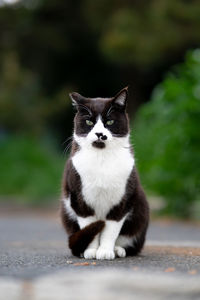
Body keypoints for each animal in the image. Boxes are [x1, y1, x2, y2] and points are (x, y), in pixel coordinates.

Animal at [60, 87, 149, 260]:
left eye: (110, 122)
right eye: (89, 122)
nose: (99, 134)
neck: (102, 158)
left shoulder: (122, 201)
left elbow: (111, 230)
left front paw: (106, 251)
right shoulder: (80, 200)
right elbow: (91, 227)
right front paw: (90, 251)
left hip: (140, 208)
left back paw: (119, 250)